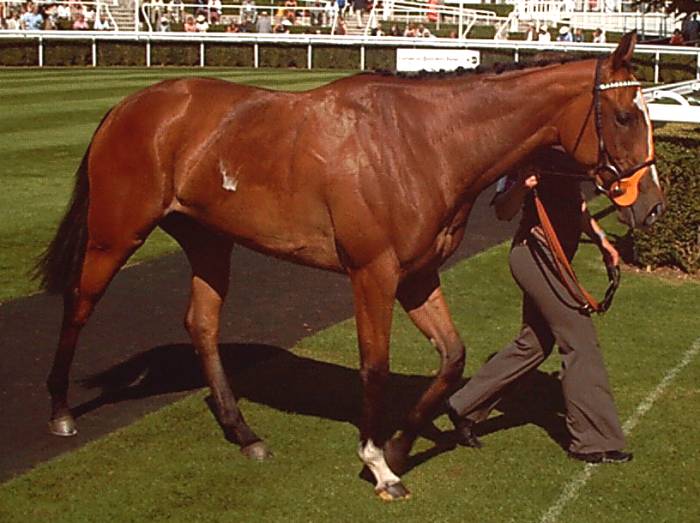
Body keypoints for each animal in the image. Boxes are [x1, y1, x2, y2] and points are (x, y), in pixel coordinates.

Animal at [36, 31, 664, 500]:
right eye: (625, 116)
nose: (654, 204)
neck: (424, 142)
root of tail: (129, 105)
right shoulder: (373, 274)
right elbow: (375, 366)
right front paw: (378, 463)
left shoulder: (418, 276)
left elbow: (452, 358)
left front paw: (399, 447)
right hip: (115, 234)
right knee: (79, 306)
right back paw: (61, 410)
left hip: (209, 240)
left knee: (202, 325)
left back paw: (243, 432)